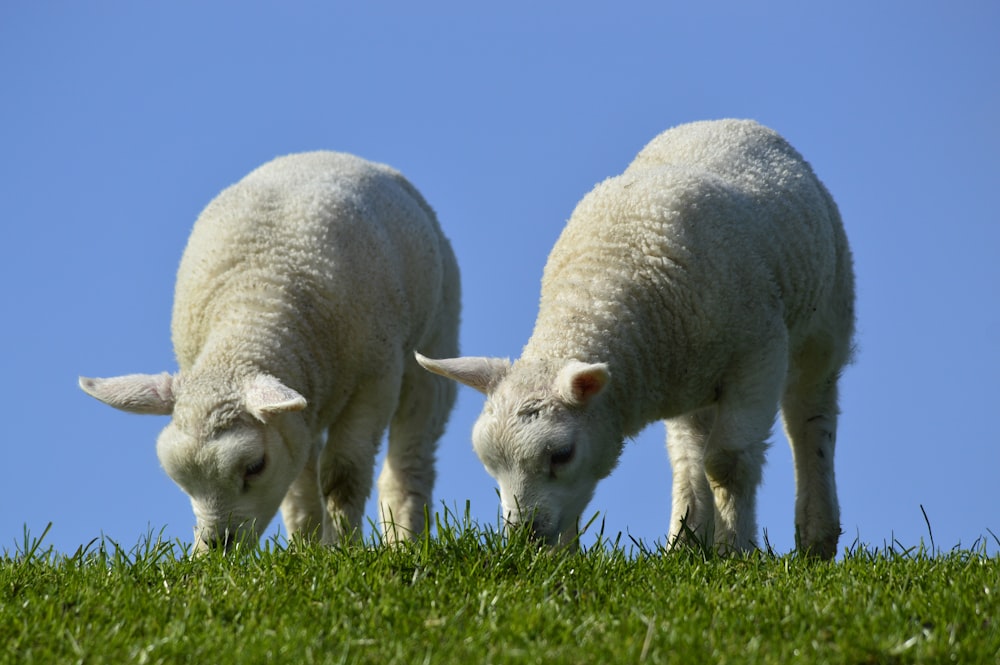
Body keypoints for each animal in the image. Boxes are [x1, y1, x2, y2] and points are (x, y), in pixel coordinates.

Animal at [80, 150, 462, 548]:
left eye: (254, 467)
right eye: (181, 480)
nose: (218, 546)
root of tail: (326, 154)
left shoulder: (374, 380)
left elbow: (343, 475)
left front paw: (342, 546)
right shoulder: (292, 414)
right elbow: (298, 487)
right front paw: (306, 549)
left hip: (434, 342)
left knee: (410, 458)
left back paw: (404, 539)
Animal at [418, 120, 856, 560]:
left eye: (562, 454)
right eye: (490, 463)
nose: (527, 541)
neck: (599, 287)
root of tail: (726, 122)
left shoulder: (757, 354)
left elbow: (729, 463)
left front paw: (735, 551)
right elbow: (695, 463)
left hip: (825, 321)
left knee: (810, 416)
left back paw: (816, 537)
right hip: (696, 378)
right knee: (688, 457)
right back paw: (685, 545)